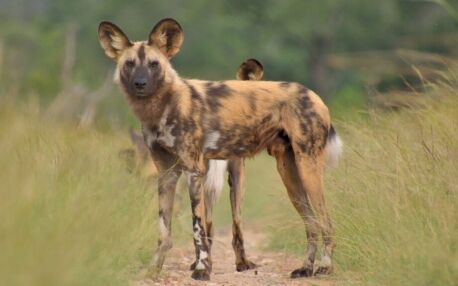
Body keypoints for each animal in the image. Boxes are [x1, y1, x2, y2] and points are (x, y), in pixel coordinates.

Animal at [98, 19, 342, 280]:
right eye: (129, 64)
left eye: (154, 64)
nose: (140, 84)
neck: (162, 108)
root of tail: (314, 94)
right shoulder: (166, 174)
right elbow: (164, 230)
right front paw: (154, 268)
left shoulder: (194, 171)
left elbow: (198, 228)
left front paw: (202, 269)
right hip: (290, 175)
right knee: (311, 224)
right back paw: (306, 268)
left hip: (307, 169)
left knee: (326, 222)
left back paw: (325, 267)